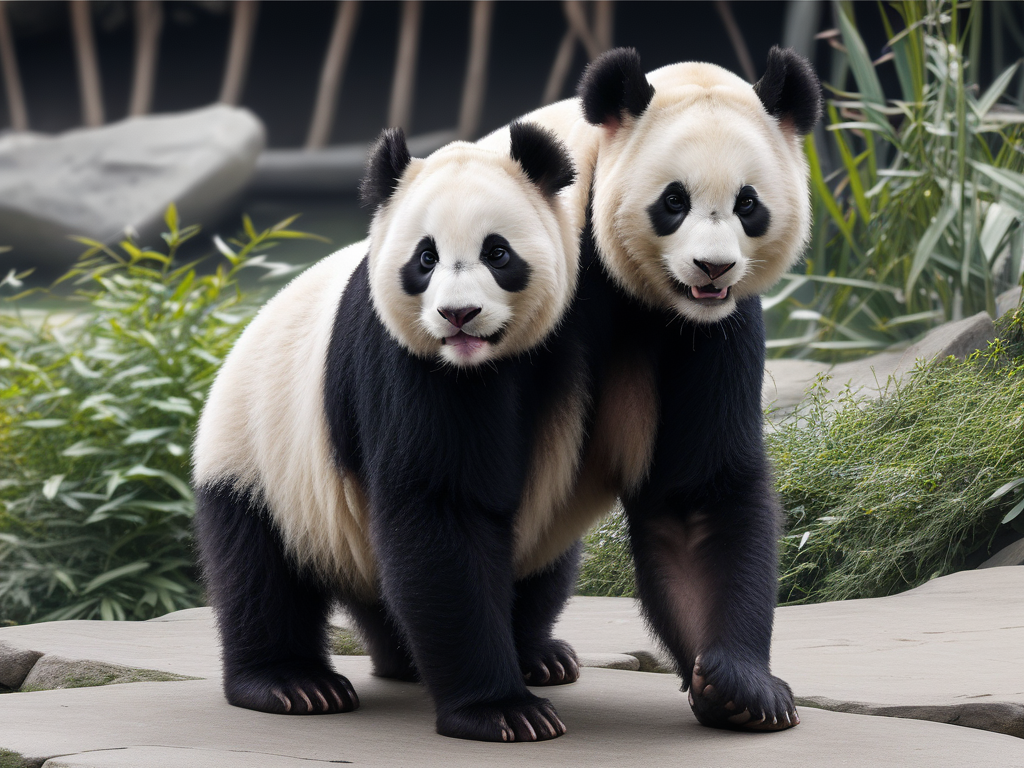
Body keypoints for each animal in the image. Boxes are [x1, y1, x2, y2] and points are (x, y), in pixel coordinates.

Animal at [192, 122, 590, 743]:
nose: (458, 315)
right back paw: (293, 684)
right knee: (257, 568)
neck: (480, 365)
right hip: (259, 456)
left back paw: (535, 656)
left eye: (497, 252)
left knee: (543, 562)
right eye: (425, 258)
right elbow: (438, 506)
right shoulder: (403, 361)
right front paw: (503, 711)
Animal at [472, 46, 823, 732]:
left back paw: (540, 653)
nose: (712, 268)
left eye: (747, 203)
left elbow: (696, 493)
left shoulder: (713, 331)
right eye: (674, 200)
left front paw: (739, 688)